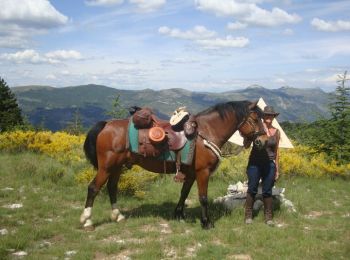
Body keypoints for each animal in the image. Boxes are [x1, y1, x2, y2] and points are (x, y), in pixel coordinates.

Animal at [80, 100, 266, 230]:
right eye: (255, 118)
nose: (263, 141)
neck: (205, 133)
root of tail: (106, 125)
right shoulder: (202, 172)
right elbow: (203, 198)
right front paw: (206, 223)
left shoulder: (190, 173)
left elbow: (184, 193)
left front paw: (179, 215)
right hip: (106, 167)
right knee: (93, 188)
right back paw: (87, 220)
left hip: (117, 167)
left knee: (112, 187)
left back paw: (118, 216)